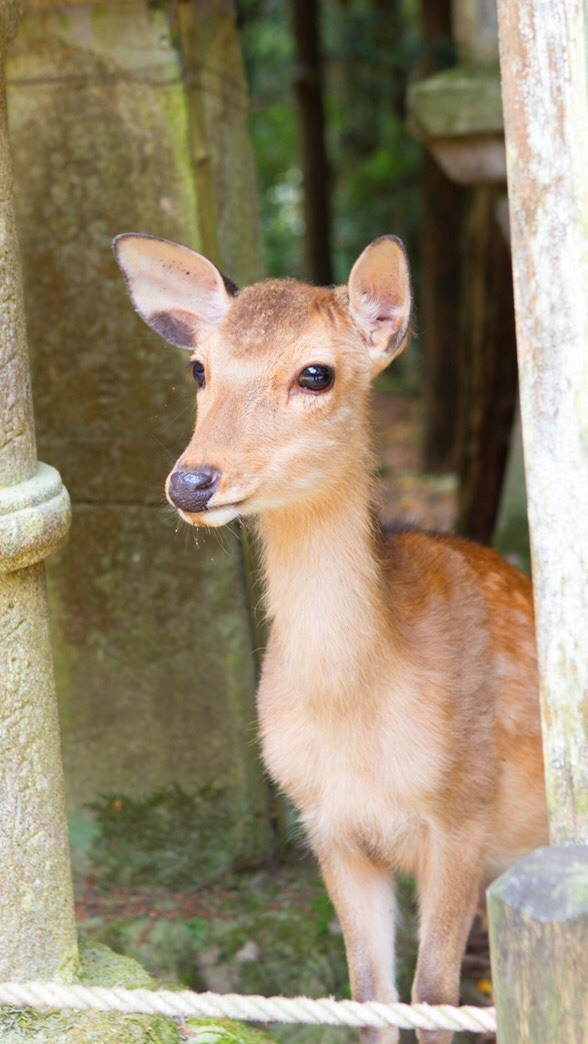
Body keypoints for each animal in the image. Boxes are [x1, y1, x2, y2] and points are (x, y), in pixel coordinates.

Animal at [116, 234, 551, 1044]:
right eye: (200, 368)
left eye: (316, 372)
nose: (191, 482)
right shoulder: (329, 826)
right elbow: (367, 996)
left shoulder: (463, 814)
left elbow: (434, 995)